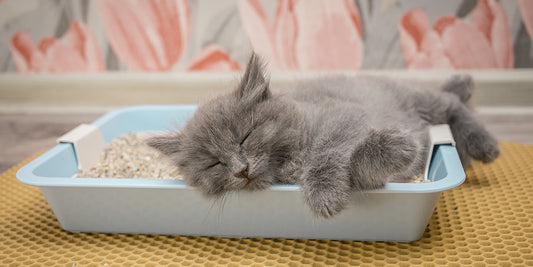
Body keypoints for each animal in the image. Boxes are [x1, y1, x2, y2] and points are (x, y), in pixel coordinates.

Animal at [145, 53, 498, 219]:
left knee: (452, 105)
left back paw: (483, 140)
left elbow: (327, 153)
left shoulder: (342, 116)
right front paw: (397, 148)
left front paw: (323, 193)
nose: (241, 170)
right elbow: (361, 171)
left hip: (419, 99)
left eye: (245, 136)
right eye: (213, 164)